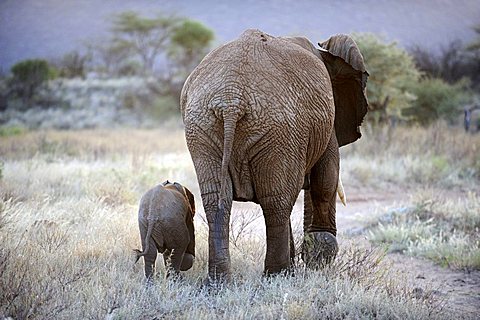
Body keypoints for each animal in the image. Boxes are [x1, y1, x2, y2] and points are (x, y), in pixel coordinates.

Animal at [180, 29, 368, 280]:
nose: (308, 263)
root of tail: (231, 99)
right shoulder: (327, 124)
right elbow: (326, 180)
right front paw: (319, 259)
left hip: (202, 126)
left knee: (217, 201)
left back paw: (219, 282)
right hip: (280, 129)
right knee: (277, 202)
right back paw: (279, 275)